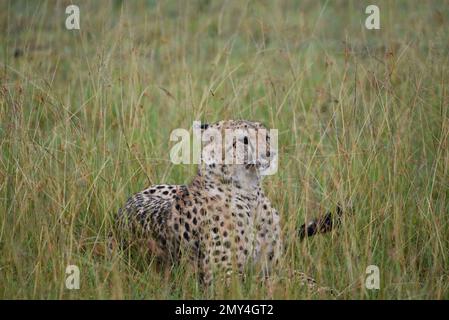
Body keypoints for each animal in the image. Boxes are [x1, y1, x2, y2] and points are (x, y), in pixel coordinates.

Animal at [114, 120, 340, 288]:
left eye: (267, 137)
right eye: (244, 140)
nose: (269, 153)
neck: (250, 194)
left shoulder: (274, 265)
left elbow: (302, 277)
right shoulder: (223, 277)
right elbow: (264, 282)